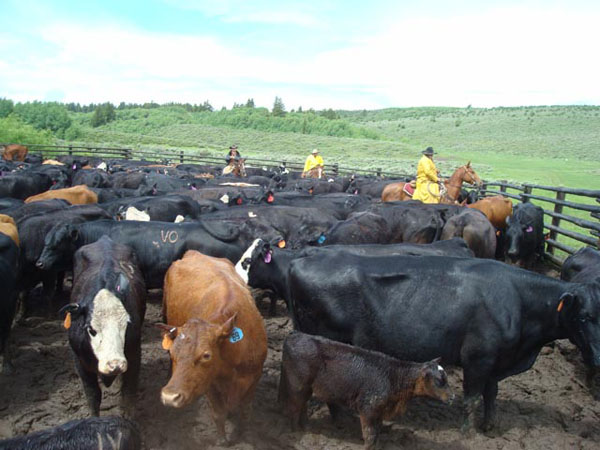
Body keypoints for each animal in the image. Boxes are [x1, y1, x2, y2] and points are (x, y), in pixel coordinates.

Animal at [60, 237, 146, 416]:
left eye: (126, 326)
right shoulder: (79, 361)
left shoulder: (135, 355)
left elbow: (128, 395)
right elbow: (93, 395)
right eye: (91, 330)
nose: (115, 364)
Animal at [158, 251, 266, 444]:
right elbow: (218, 414)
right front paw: (223, 441)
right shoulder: (209, 384)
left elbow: (245, 413)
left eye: (206, 355)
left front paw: (242, 434)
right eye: (172, 352)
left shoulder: (254, 377)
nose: (170, 397)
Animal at [239, 246, 600, 432]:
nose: (597, 357)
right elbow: (471, 399)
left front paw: (491, 426)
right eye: (583, 316)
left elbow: (491, 395)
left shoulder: (495, 362)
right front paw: (470, 432)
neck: (517, 299)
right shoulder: (477, 359)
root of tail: (301, 259)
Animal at [278, 332, 452, 448]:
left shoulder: (379, 410)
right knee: (295, 407)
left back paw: (306, 427)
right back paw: (295, 432)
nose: (453, 397)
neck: (393, 377)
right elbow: (369, 434)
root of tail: (294, 335)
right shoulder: (368, 407)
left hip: (304, 388)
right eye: (439, 381)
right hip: (297, 386)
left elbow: (377, 434)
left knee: (302, 405)